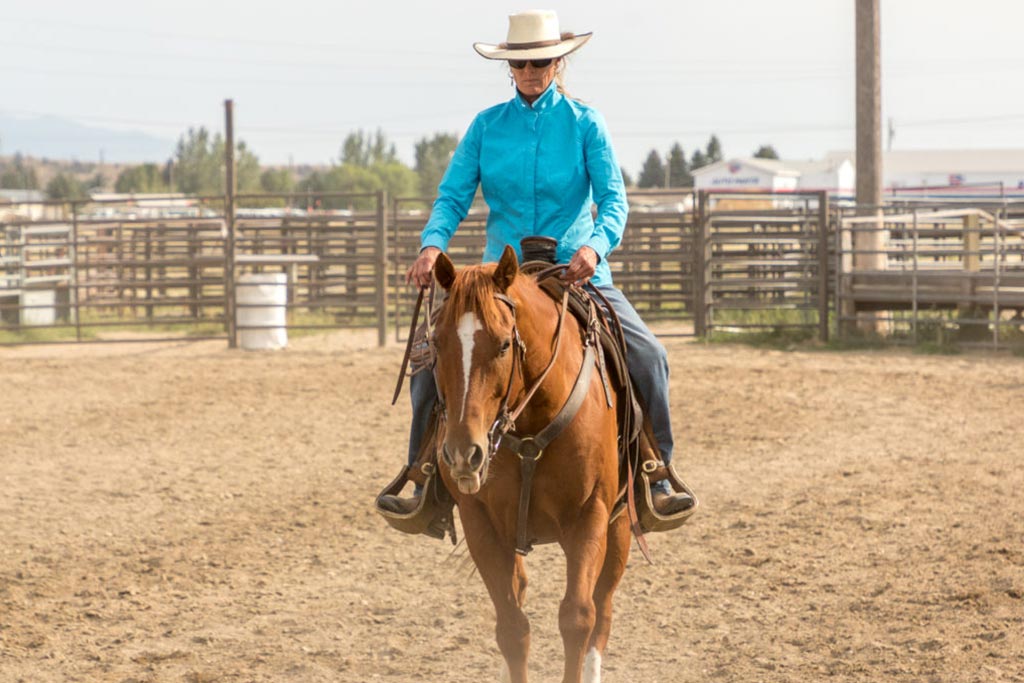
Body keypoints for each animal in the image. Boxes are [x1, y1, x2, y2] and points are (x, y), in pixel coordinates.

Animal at [428, 245, 626, 683]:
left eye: (504, 345)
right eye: (435, 343)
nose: (463, 453)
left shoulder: (590, 514)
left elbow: (578, 617)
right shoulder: (480, 522)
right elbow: (512, 628)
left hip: (619, 524)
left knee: (603, 607)